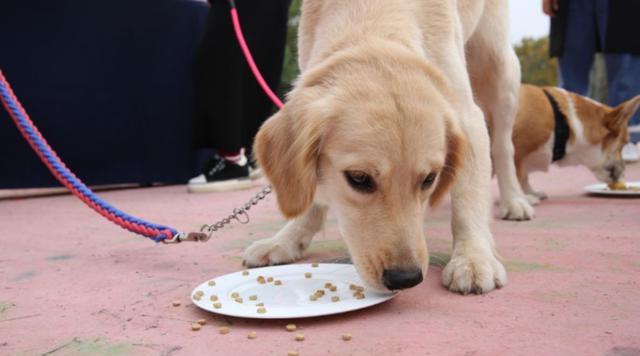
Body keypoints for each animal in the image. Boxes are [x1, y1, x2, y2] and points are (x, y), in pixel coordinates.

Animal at [240, 0, 524, 294]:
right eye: (358, 179)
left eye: (429, 179)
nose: (406, 278)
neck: (372, 15)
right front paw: (286, 240)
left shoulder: (467, 116)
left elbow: (469, 196)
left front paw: (473, 258)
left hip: (499, 66)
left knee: (504, 147)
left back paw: (515, 200)